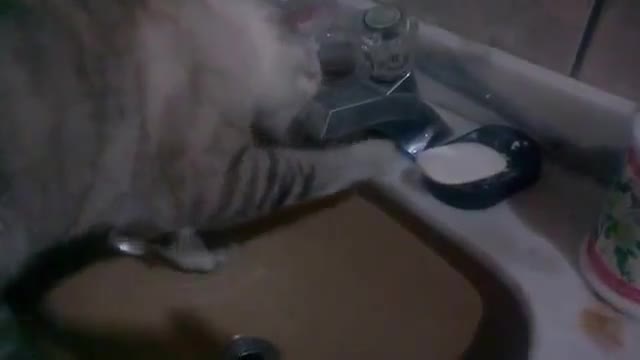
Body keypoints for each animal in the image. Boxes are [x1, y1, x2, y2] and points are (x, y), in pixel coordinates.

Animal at [0, 0, 408, 358]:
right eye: (315, 73)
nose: (316, 109)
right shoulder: (222, 178)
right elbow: (322, 168)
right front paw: (385, 154)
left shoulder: (159, 195)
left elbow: (169, 233)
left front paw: (195, 256)